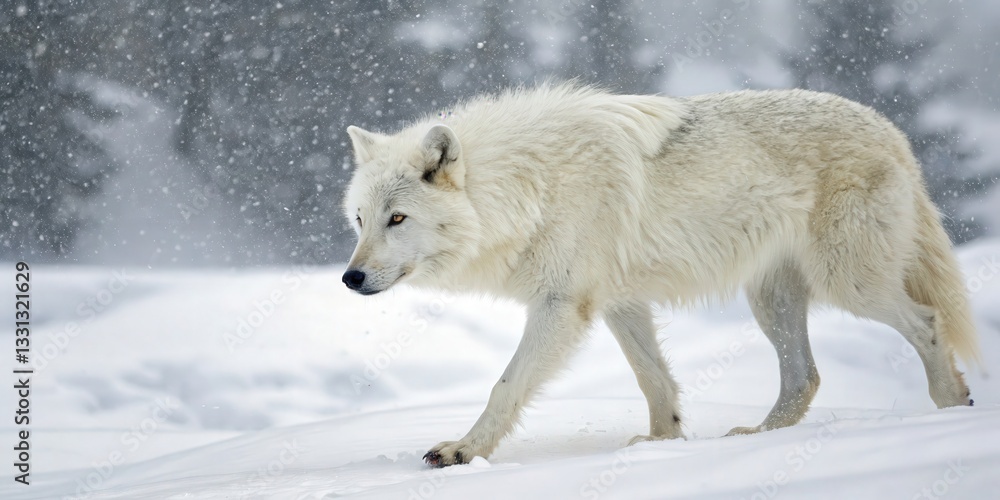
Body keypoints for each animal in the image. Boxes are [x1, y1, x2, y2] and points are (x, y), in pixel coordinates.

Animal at [341, 84, 979, 467]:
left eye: (398, 218)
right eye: (360, 219)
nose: (350, 278)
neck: (528, 186)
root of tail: (890, 129)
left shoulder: (561, 305)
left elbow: (505, 385)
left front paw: (463, 451)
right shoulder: (618, 303)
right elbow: (653, 380)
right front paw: (661, 444)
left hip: (850, 283)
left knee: (927, 322)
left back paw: (952, 410)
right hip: (770, 300)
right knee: (805, 377)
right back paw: (759, 439)